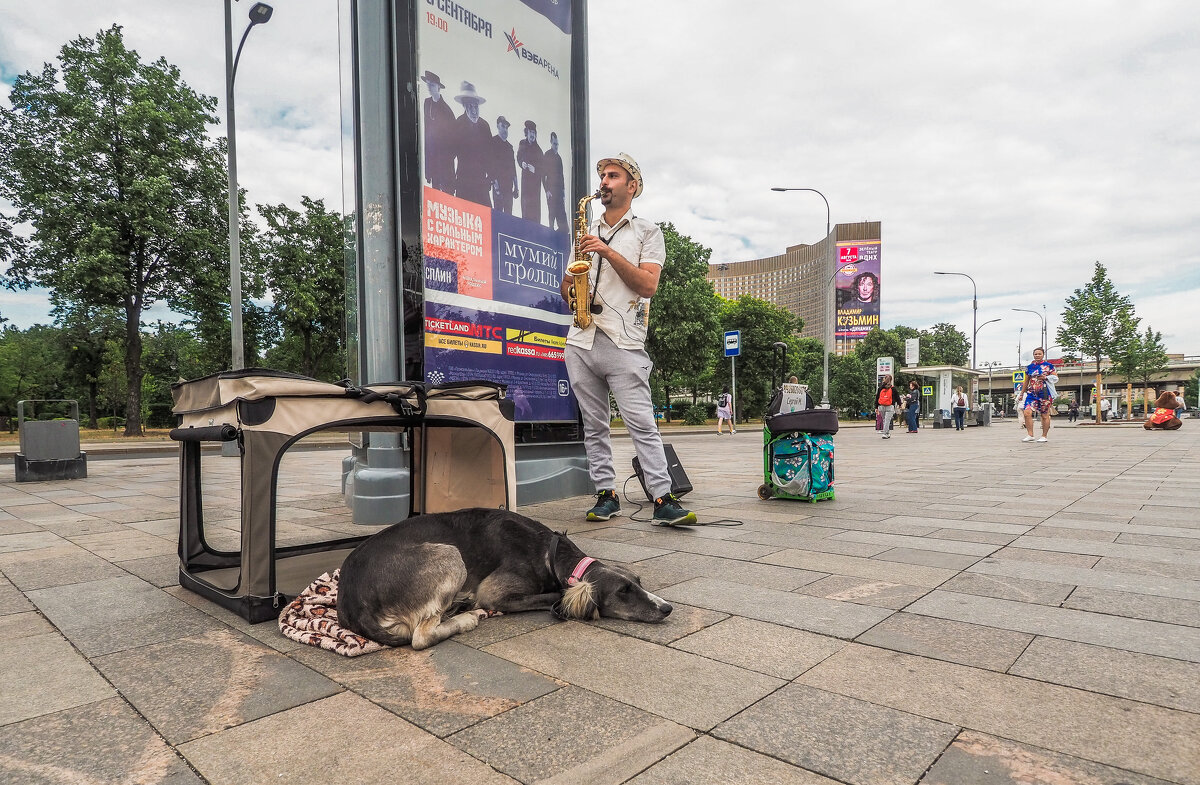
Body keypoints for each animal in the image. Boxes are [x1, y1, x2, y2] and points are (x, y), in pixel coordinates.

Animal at [340, 506, 676, 648]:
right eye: (623, 591)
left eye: (639, 582)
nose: (667, 608)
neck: (549, 552)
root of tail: (350, 603)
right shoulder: (495, 593)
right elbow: (554, 593)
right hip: (449, 555)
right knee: (420, 637)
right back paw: (466, 617)